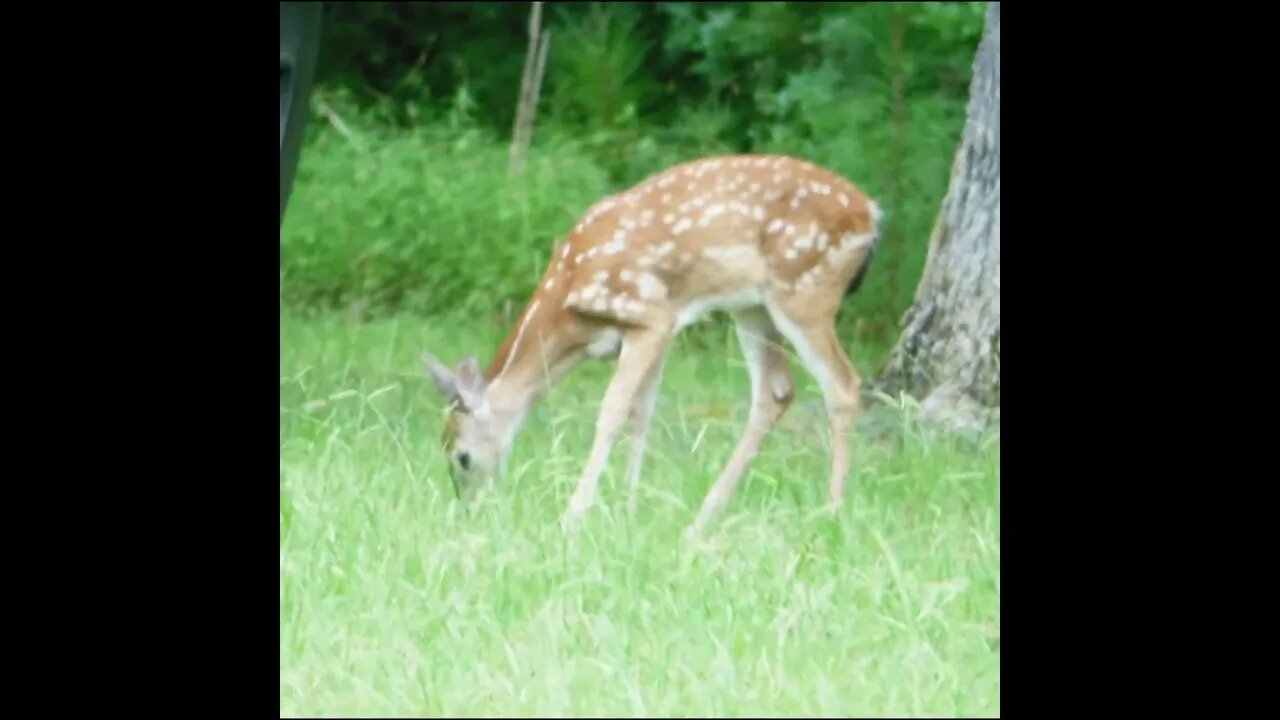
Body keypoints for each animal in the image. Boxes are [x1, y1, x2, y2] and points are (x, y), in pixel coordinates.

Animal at [422, 153, 882, 534]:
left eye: (462, 456)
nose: (470, 506)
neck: (569, 306)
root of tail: (871, 214)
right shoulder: (660, 325)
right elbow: (641, 414)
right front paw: (628, 509)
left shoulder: (648, 313)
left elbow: (611, 412)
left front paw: (574, 515)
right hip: (753, 306)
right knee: (776, 391)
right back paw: (703, 519)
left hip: (804, 289)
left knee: (843, 385)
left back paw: (831, 512)